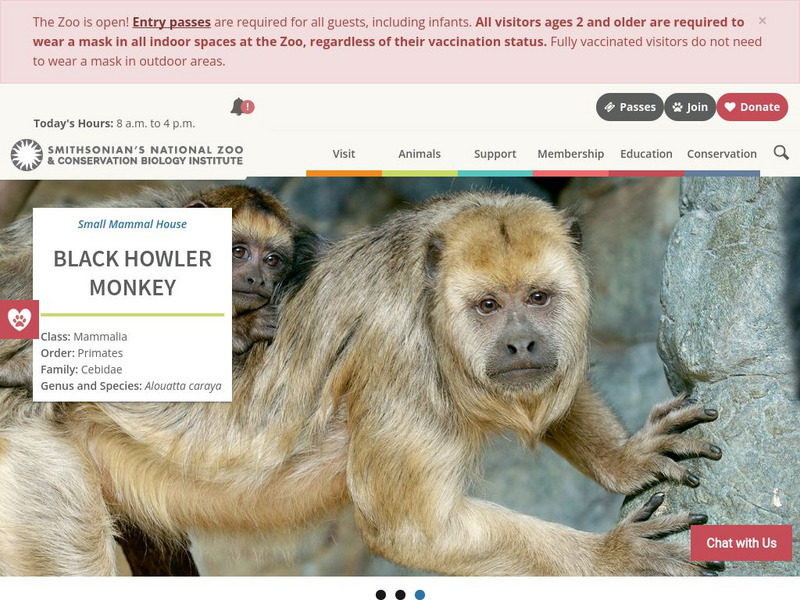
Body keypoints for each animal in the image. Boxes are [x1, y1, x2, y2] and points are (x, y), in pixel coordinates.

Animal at [0, 191, 725, 576]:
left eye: (539, 298)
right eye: (488, 306)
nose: (521, 343)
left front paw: (624, 458)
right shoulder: (399, 351)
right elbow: (413, 530)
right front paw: (611, 557)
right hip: (26, 453)